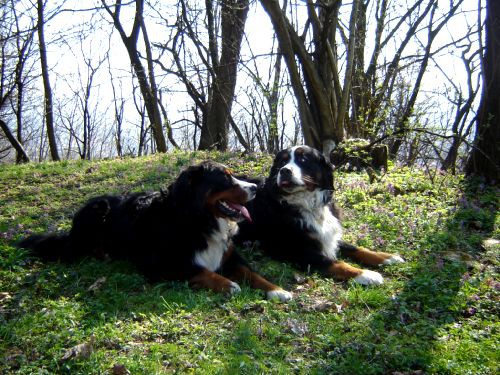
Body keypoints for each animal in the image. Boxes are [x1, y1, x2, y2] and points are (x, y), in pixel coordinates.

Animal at [236, 146, 404, 284]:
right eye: (282, 162)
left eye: (303, 159)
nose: (284, 171)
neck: (308, 204)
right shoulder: (296, 249)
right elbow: (335, 262)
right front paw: (365, 274)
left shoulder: (328, 235)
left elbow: (356, 248)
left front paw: (387, 257)